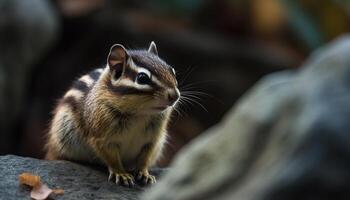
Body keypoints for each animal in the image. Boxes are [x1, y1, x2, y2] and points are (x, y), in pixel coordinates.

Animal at [44, 42, 179, 188]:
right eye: (142, 78)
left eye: (172, 70)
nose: (175, 95)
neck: (139, 114)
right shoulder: (102, 136)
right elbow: (112, 158)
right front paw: (121, 173)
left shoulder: (153, 140)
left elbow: (145, 158)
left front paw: (145, 173)